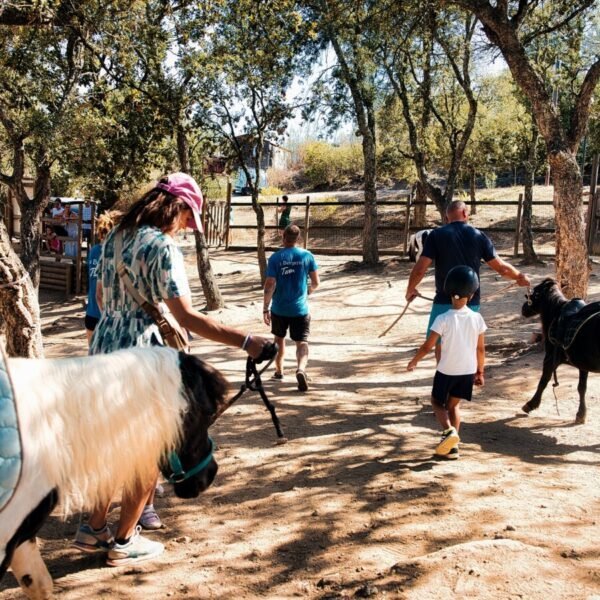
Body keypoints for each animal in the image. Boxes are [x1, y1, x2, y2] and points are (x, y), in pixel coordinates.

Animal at [520, 278, 600, 424]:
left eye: (533, 294)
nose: (524, 309)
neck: (556, 314)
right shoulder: (583, 364)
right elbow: (582, 388)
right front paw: (581, 414)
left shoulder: (550, 359)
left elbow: (543, 381)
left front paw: (531, 404)